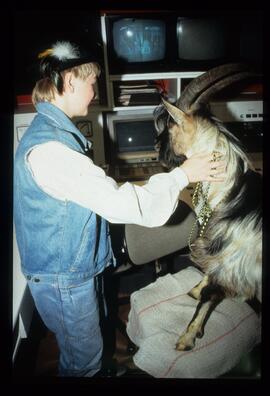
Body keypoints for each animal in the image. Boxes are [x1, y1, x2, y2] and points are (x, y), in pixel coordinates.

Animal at [154, 63, 262, 352]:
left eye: (170, 127)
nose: (157, 150)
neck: (230, 194)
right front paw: (194, 289)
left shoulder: (231, 262)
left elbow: (209, 296)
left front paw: (186, 338)